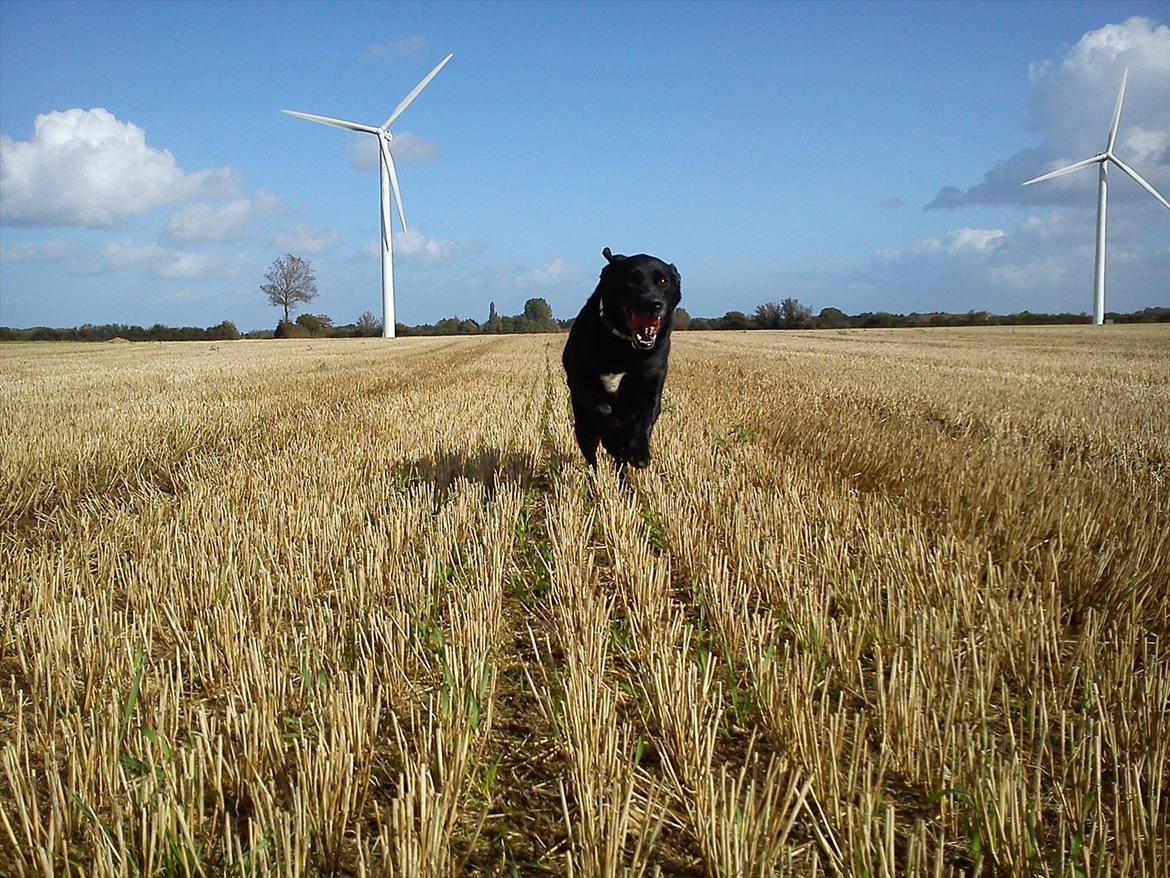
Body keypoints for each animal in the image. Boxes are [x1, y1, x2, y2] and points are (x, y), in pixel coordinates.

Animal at [561, 245, 683, 468]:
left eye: (663, 281)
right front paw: (615, 439)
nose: (653, 304)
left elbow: (645, 417)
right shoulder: (580, 380)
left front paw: (639, 452)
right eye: (632, 280)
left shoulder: (651, 386)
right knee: (593, 459)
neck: (623, 346)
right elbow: (603, 408)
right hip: (583, 427)